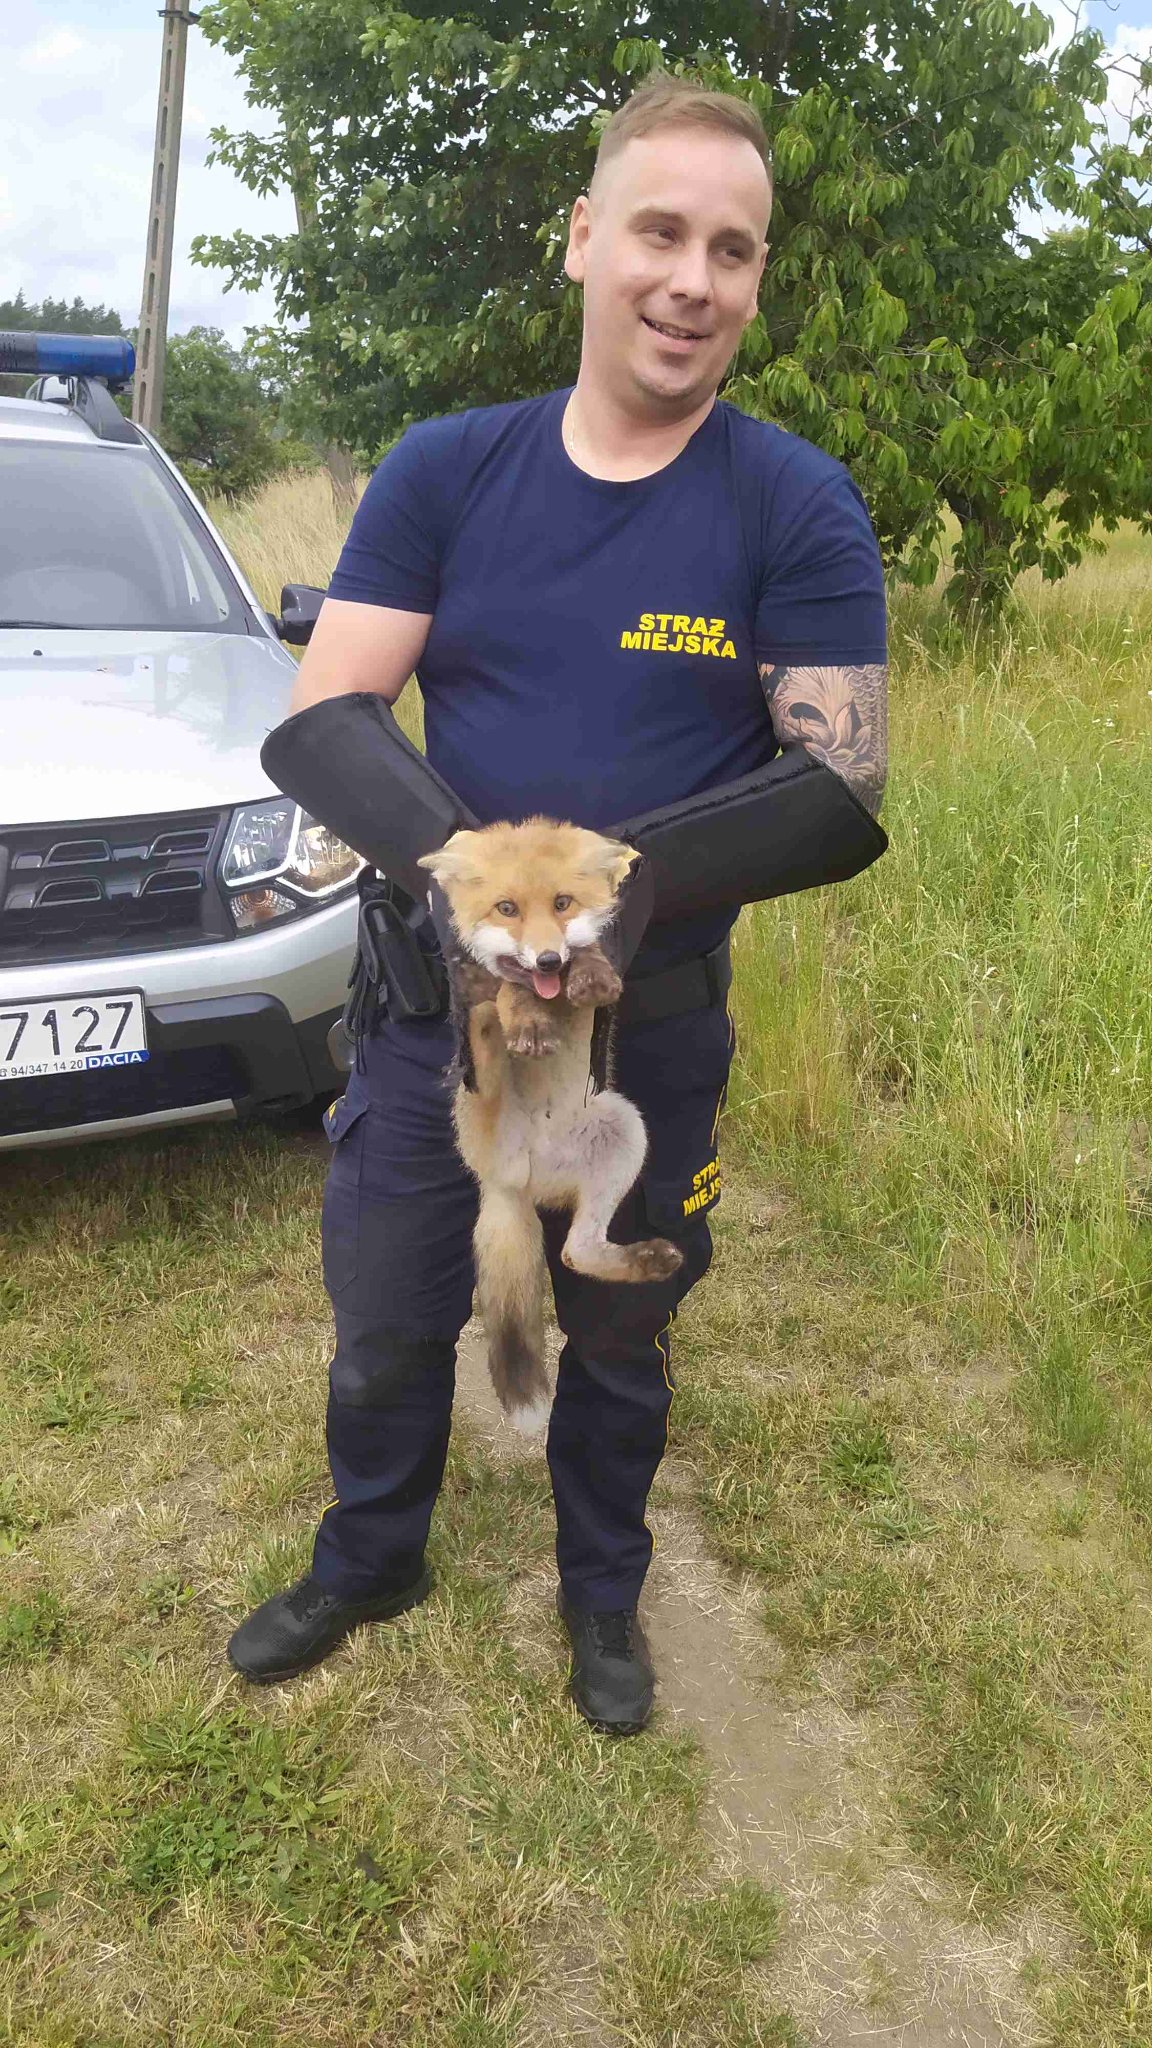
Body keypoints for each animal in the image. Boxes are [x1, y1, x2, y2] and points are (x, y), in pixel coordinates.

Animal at [418, 816, 682, 1431]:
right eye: (506, 908)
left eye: (562, 904)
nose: (545, 961)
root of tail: (509, 1184)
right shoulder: (501, 984)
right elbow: (506, 989)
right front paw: (526, 1011)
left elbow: (591, 957)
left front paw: (587, 974)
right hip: (484, 1098)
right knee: (483, 1029)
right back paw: (496, 1018)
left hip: (623, 1129)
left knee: (576, 1254)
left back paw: (644, 1260)